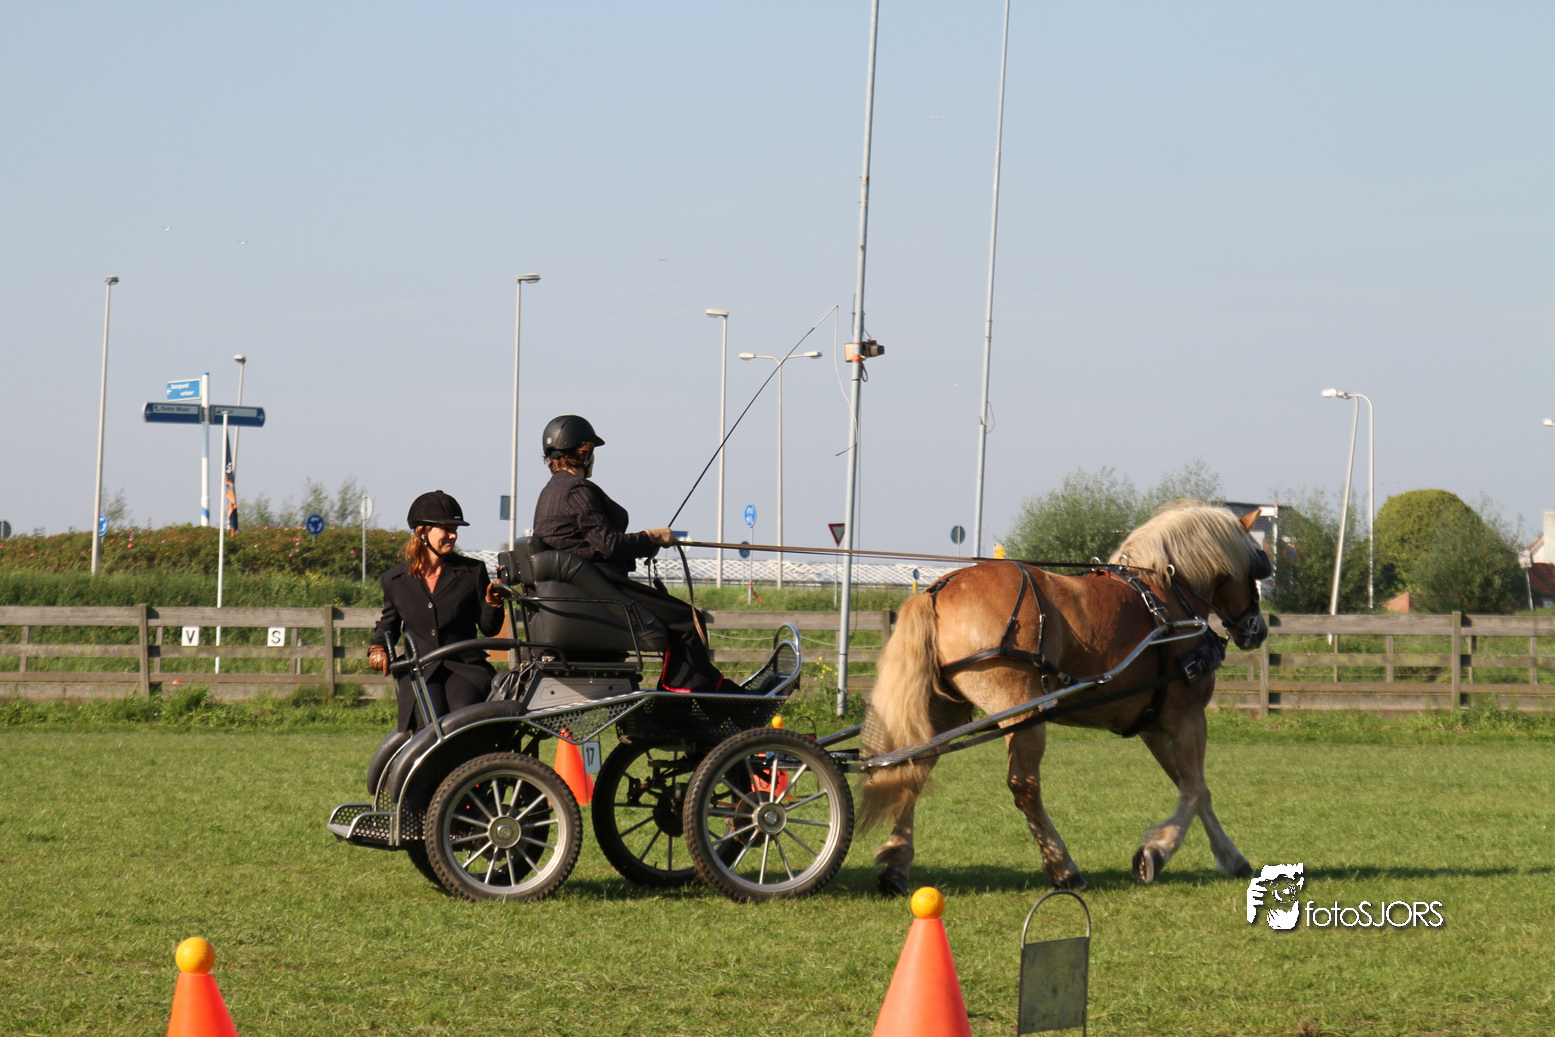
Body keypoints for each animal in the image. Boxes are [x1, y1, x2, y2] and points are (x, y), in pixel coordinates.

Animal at [859, 502, 1271, 895]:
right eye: (1259, 565)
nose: (1259, 629)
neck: (1168, 595)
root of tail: (939, 590)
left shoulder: (1153, 725)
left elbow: (1191, 787)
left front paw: (1232, 858)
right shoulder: (1186, 716)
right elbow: (1197, 790)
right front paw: (1156, 851)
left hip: (945, 708)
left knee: (912, 767)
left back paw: (896, 865)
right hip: (1021, 711)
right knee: (1024, 785)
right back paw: (1064, 868)